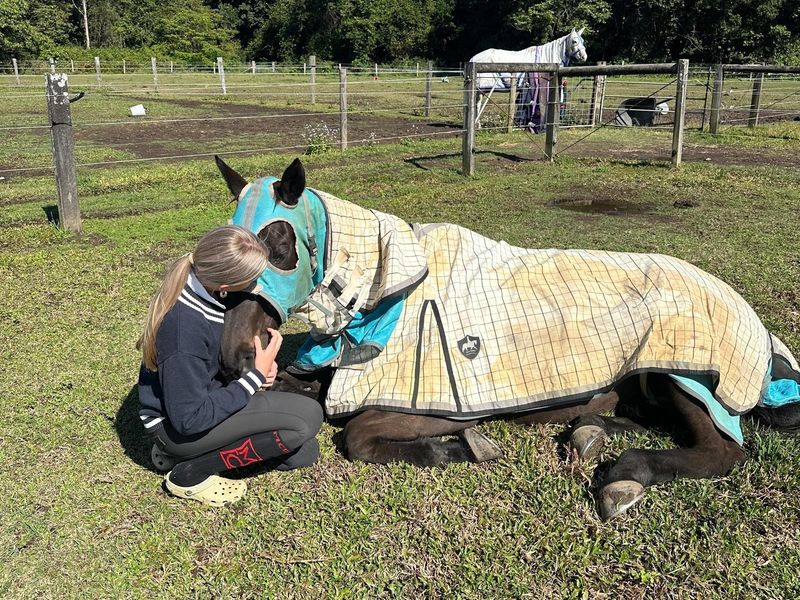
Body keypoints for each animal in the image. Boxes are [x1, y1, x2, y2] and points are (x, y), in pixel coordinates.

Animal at [214, 156, 800, 520]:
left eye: (280, 243)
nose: (233, 354)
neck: (389, 299)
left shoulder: (424, 402)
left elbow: (356, 436)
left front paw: (458, 447)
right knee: (638, 417)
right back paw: (589, 431)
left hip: (683, 375)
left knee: (721, 450)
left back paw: (626, 474)